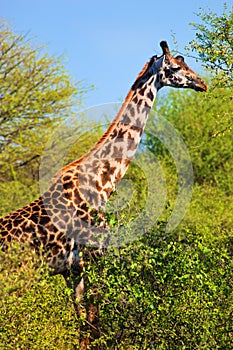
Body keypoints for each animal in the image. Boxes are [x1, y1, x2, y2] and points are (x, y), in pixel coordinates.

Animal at [0, 41, 208, 348]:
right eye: (174, 68)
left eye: (186, 63)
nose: (201, 83)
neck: (102, 182)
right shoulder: (94, 258)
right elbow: (94, 325)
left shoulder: (72, 269)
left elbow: (83, 326)